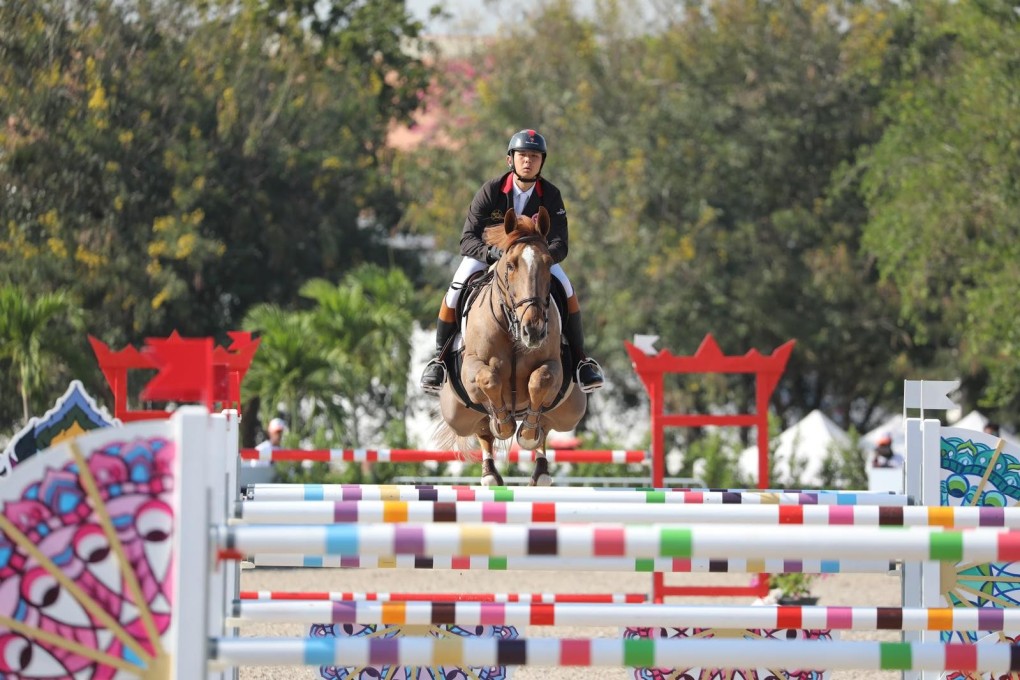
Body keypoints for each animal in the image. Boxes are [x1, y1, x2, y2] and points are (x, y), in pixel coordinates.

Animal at [436, 207, 587, 486]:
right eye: (510, 265)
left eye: (548, 264)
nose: (534, 330)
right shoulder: (472, 366)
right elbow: (489, 379)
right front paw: (504, 425)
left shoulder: (553, 366)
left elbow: (540, 381)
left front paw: (526, 433)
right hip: (458, 415)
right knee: (482, 428)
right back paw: (490, 474)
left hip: (570, 410)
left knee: (546, 424)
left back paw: (540, 468)